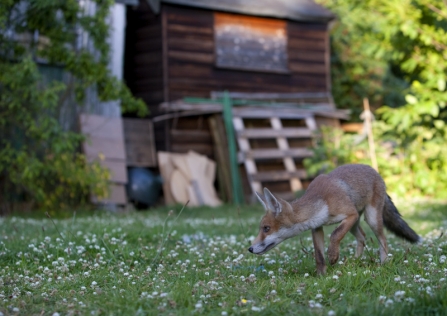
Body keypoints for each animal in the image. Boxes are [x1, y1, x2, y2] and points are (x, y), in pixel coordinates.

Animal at [247, 163, 422, 274]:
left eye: (266, 228)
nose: (249, 249)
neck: (321, 201)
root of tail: (375, 171)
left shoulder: (349, 214)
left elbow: (335, 235)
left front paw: (333, 256)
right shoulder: (317, 228)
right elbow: (319, 255)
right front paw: (321, 275)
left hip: (370, 218)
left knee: (383, 241)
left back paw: (383, 262)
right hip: (354, 224)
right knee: (362, 237)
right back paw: (354, 260)